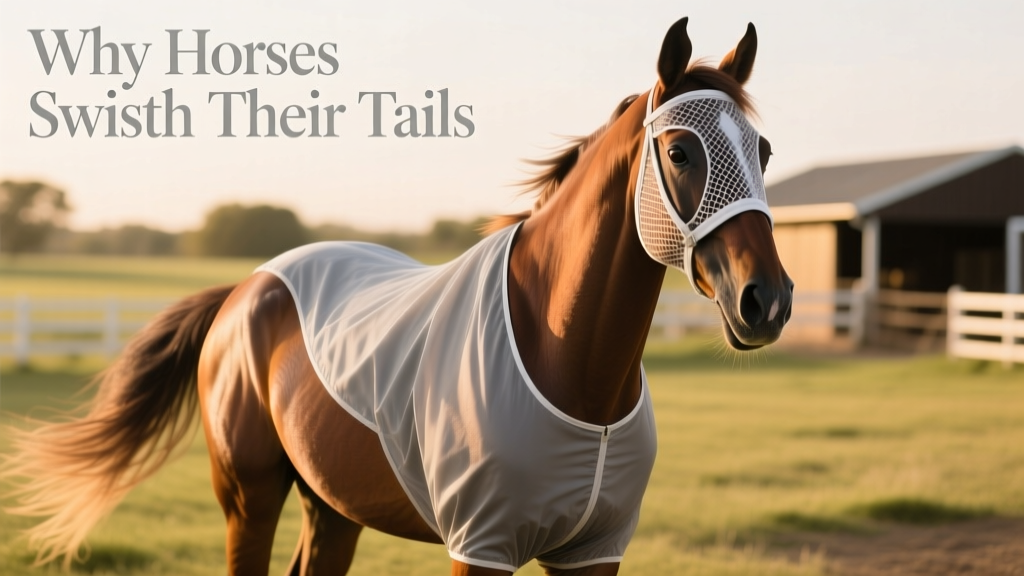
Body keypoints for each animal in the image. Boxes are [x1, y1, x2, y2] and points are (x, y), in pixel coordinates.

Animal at [4, 17, 792, 576]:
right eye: (682, 151)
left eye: (762, 151)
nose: (769, 299)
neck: (561, 360)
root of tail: (246, 290)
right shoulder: (481, 546)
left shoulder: (594, 554)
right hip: (248, 500)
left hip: (332, 505)